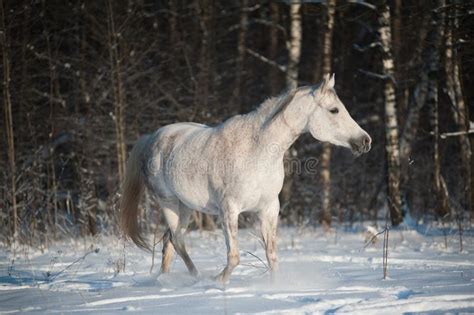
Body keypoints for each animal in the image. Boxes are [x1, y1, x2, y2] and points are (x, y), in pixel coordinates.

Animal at [119, 74, 370, 284]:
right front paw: (219, 282)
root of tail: (153, 138)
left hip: (186, 207)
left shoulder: (269, 208)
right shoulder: (229, 210)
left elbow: (271, 255)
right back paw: (196, 278)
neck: (257, 150)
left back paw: (164, 279)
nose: (365, 141)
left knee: (169, 241)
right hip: (168, 202)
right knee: (178, 240)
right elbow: (234, 256)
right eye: (334, 110)